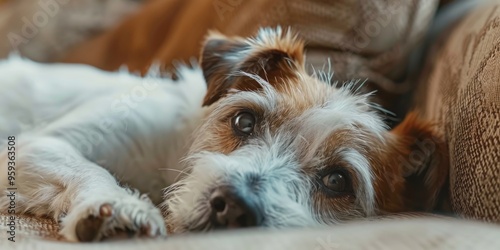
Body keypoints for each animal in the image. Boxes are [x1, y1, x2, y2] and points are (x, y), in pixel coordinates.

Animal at [0, 27, 448, 242]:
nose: (233, 207)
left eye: (337, 180)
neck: (169, 160)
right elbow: (92, 170)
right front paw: (116, 208)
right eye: (244, 122)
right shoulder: (43, 144)